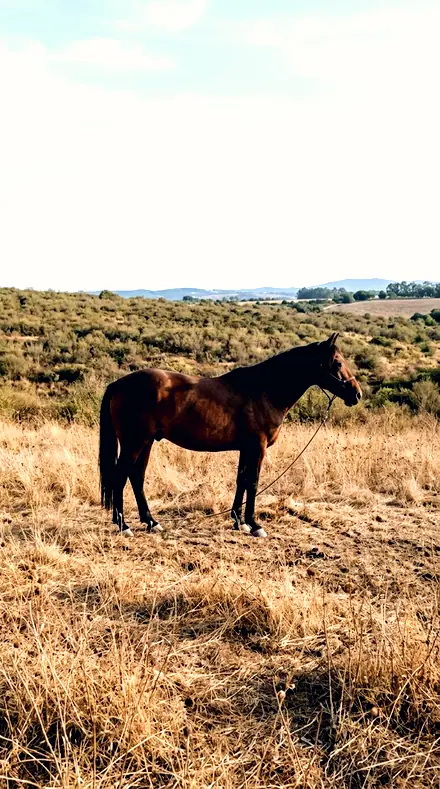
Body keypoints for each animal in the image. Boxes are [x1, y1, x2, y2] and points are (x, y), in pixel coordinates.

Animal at [99, 332, 361, 538]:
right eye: (337, 363)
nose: (356, 394)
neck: (265, 390)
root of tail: (118, 384)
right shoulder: (257, 447)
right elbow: (253, 482)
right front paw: (255, 525)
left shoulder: (246, 448)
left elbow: (241, 480)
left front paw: (238, 521)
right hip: (134, 443)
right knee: (120, 477)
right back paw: (123, 525)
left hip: (146, 443)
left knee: (136, 477)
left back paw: (151, 522)